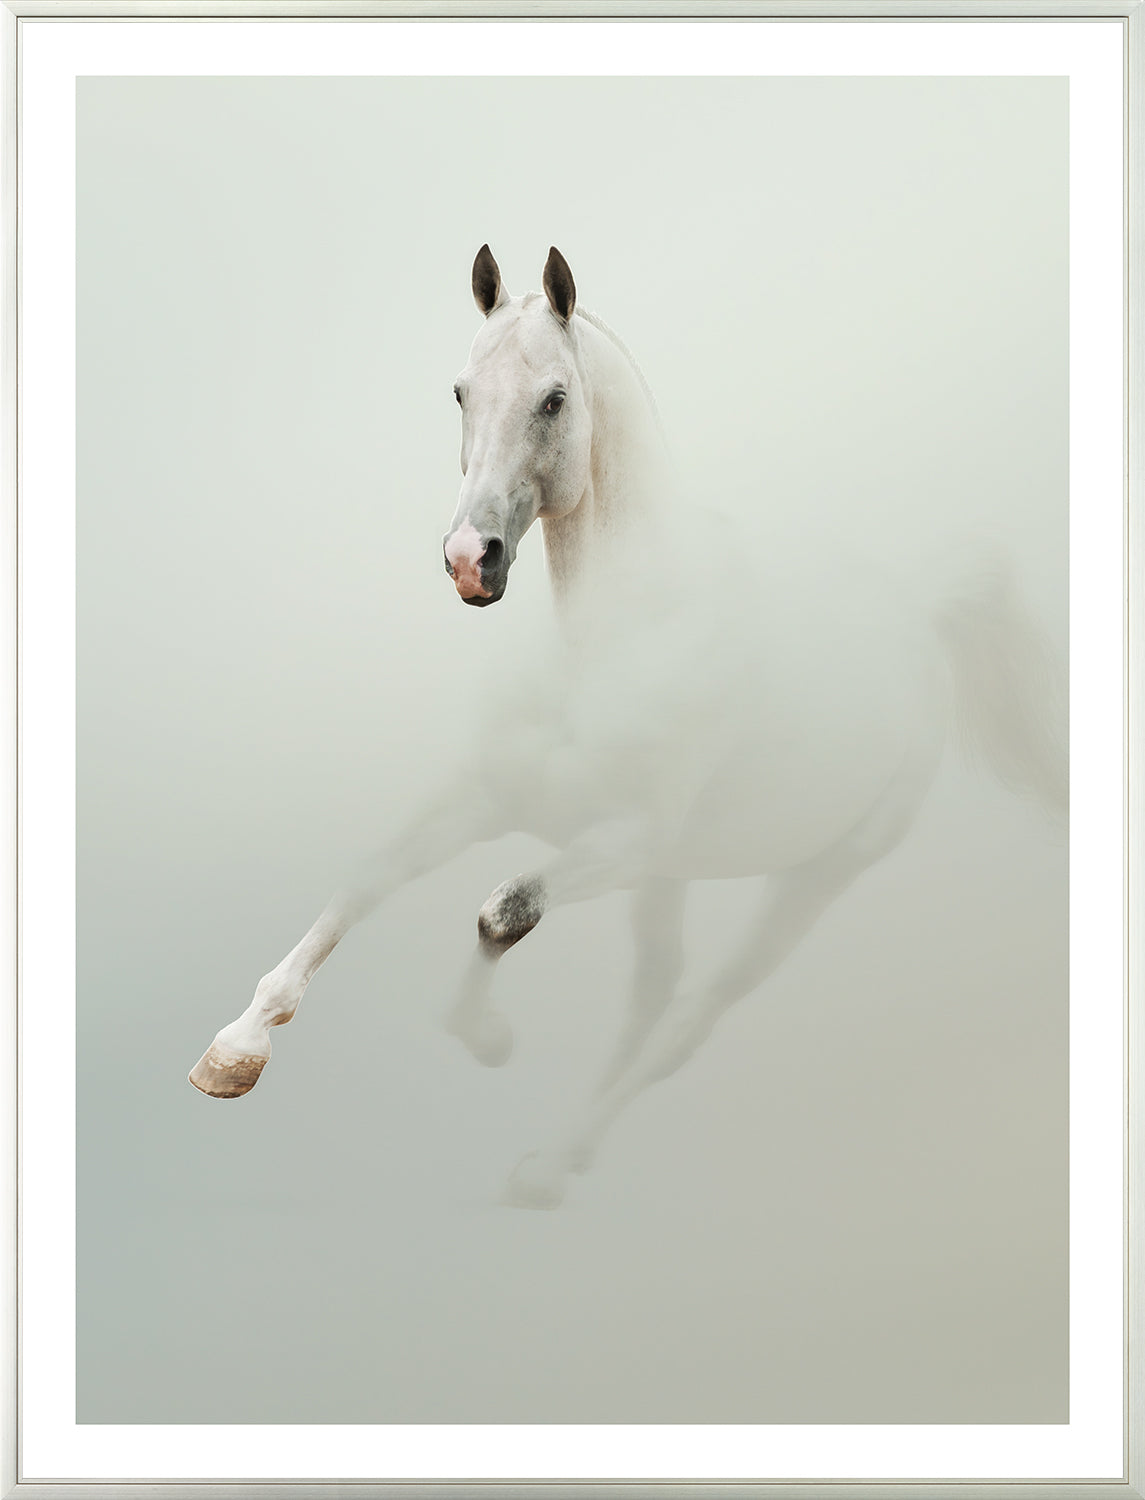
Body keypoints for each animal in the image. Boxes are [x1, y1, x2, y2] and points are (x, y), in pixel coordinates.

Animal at [189, 245, 1066, 1209]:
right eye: (459, 392)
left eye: (553, 398)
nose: (469, 562)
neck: (609, 644)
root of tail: (919, 611)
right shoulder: (486, 797)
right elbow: (366, 880)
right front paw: (233, 1053)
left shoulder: (627, 841)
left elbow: (501, 912)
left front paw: (486, 1037)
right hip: (675, 875)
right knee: (654, 993)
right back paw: (562, 1156)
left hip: (811, 879)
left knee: (690, 1015)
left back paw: (551, 1167)